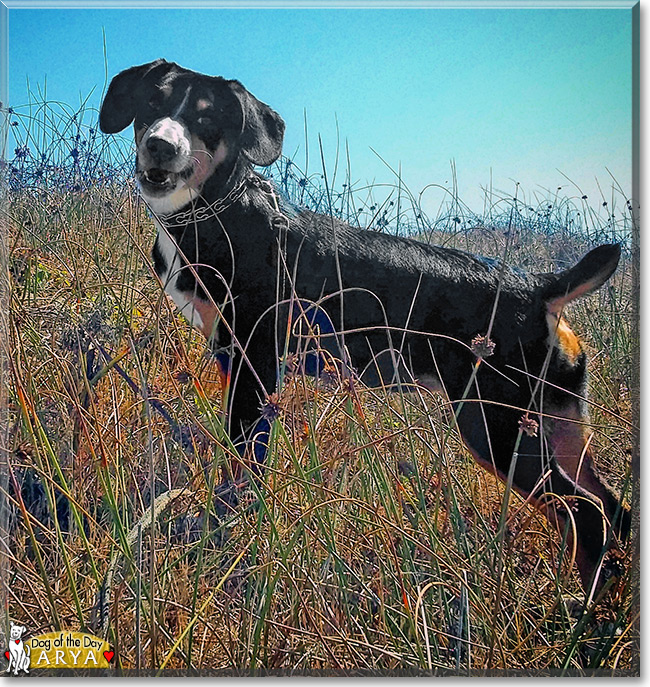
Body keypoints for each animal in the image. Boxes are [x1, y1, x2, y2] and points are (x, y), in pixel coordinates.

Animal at [100, 59, 628, 596]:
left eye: (206, 117)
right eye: (152, 103)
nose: (160, 145)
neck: (218, 214)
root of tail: (539, 286)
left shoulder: (255, 364)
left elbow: (245, 466)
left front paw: (228, 536)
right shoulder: (233, 361)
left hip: (495, 425)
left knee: (587, 515)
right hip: (559, 423)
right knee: (612, 508)